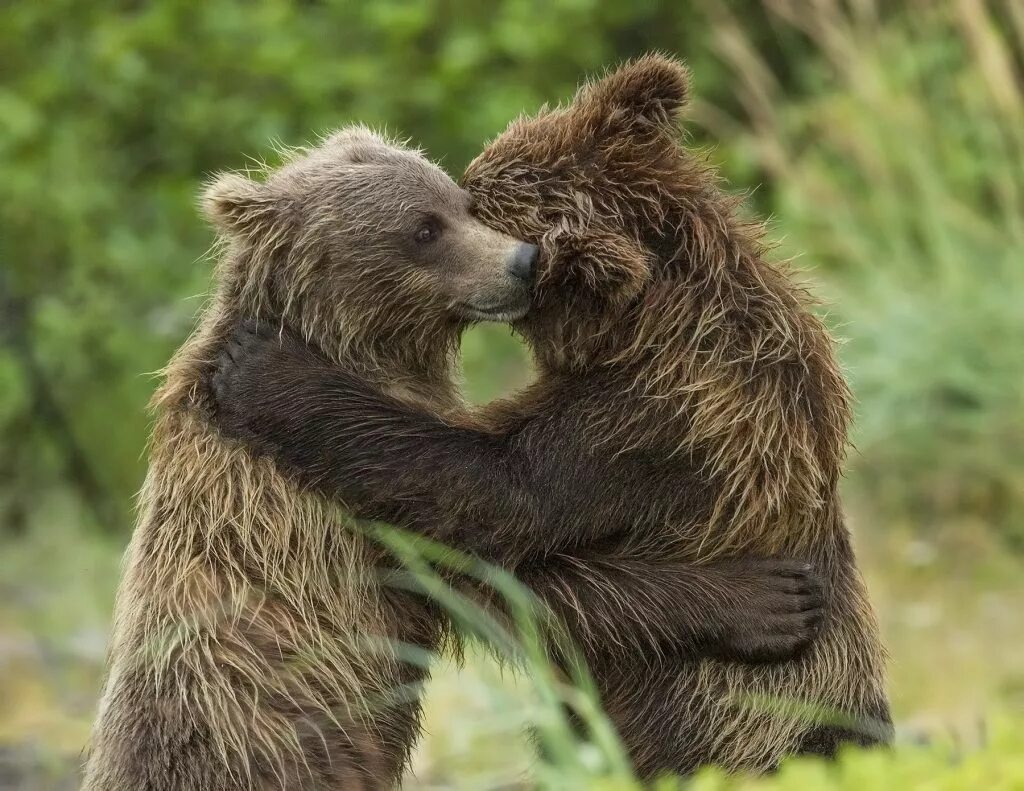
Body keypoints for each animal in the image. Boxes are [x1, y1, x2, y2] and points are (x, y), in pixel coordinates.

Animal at [86, 125, 823, 790]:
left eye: (462, 205)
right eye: (423, 229)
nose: (523, 260)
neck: (365, 353)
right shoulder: (319, 518)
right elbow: (513, 580)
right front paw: (763, 600)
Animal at [211, 57, 892, 778]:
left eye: (482, 213)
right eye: (468, 199)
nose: (512, 263)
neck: (646, 325)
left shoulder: (655, 417)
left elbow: (501, 494)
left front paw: (262, 368)